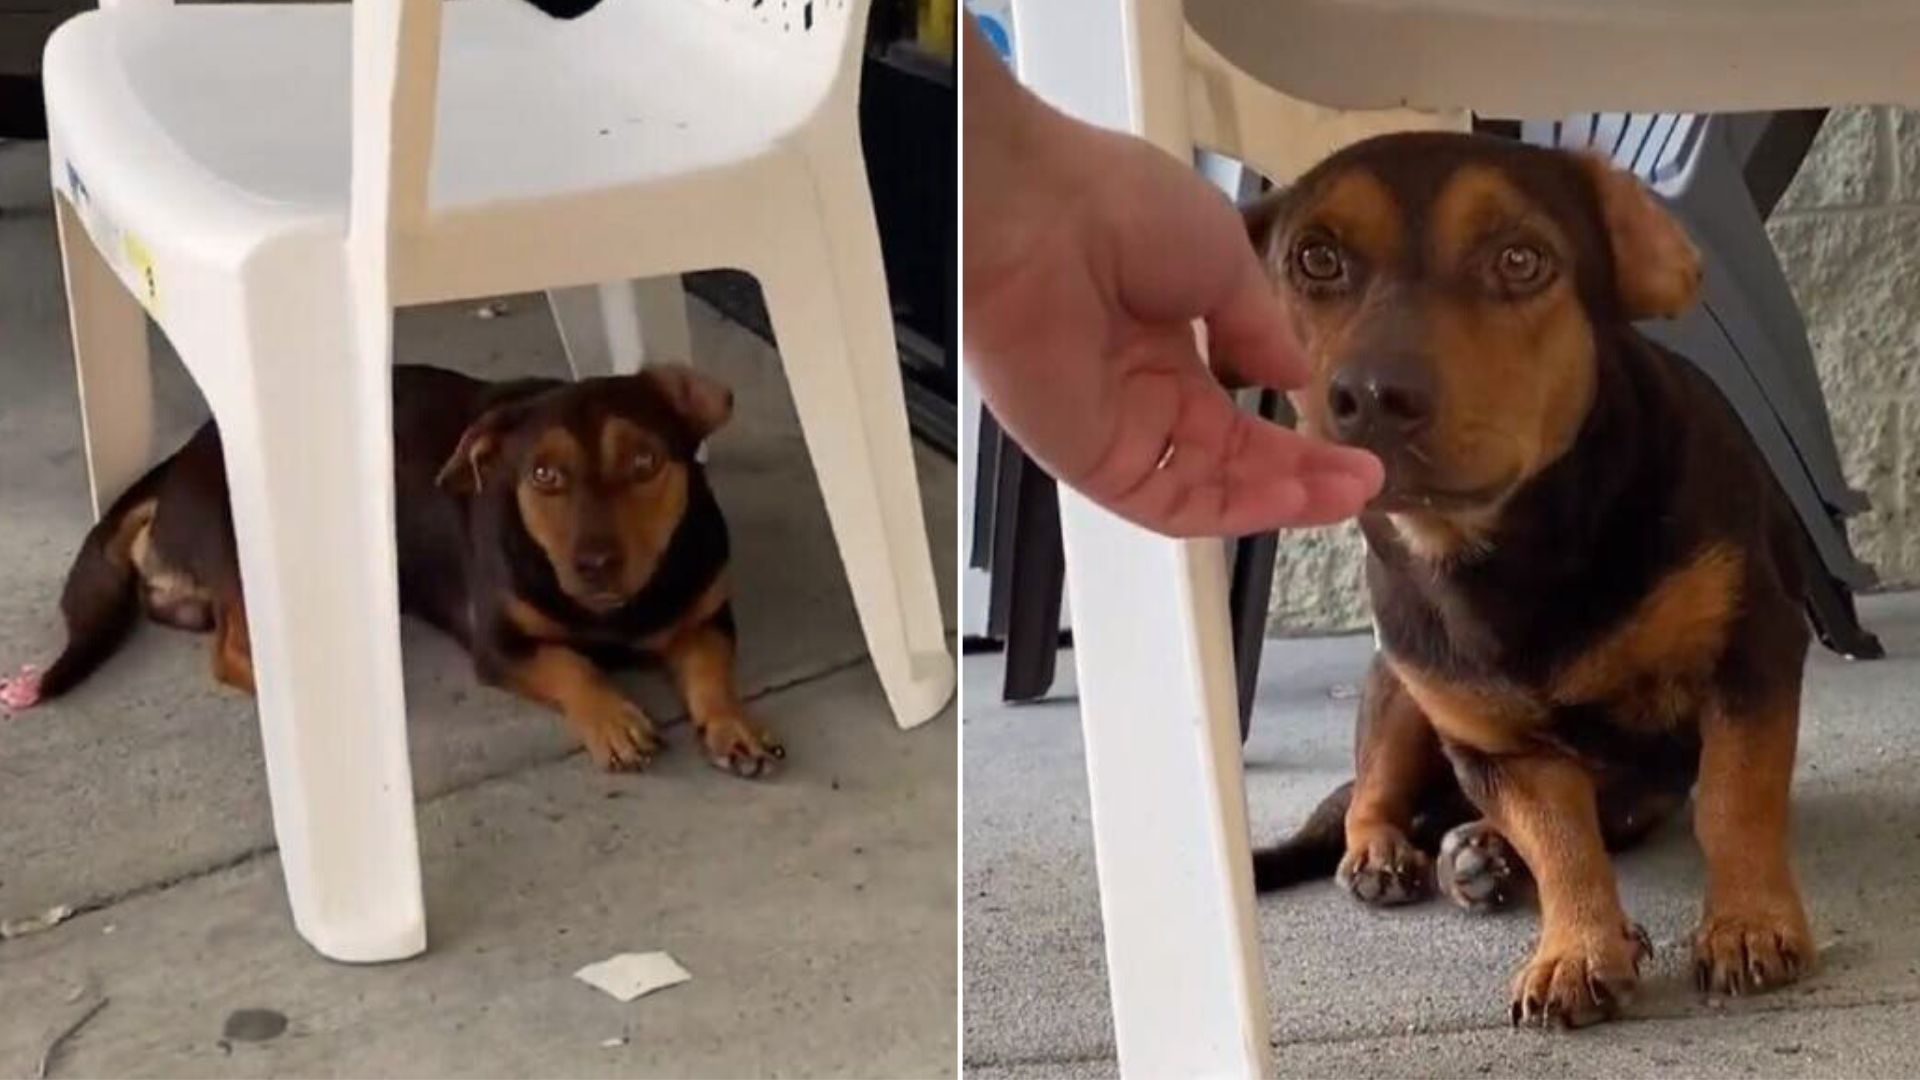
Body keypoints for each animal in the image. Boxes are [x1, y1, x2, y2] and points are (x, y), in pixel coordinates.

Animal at [0, 361, 783, 772]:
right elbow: (573, 667)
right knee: (230, 650)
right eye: (544, 476)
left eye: (646, 463)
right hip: (249, 551)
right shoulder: (502, 644)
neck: (617, 609)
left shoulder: (708, 617)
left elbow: (710, 670)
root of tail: (177, 461)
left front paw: (733, 722)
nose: (594, 563)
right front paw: (613, 717)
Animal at [1244, 132, 1812, 1022]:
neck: (1511, 550)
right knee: (1368, 796)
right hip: (1401, 684)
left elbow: (1734, 799)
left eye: (1521, 260)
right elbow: (1560, 842)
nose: (1372, 395)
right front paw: (1576, 948)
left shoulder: (1750, 648)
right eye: (1316, 259)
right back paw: (1391, 853)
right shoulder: (1498, 747)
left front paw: (1748, 923)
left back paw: (1472, 849)